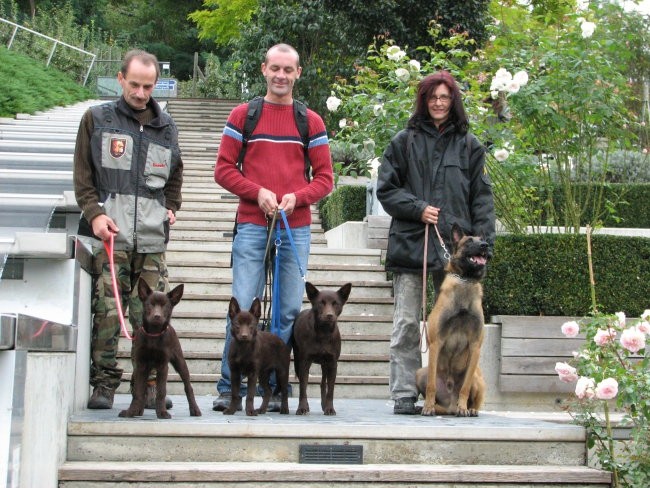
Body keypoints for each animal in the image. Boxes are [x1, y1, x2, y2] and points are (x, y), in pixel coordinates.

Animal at [117, 278, 201, 420]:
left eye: (165, 306)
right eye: (150, 304)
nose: (157, 316)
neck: (153, 334)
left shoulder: (163, 366)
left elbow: (161, 391)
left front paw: (162, 412)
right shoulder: (141, 364)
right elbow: (138, 392)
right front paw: (130, 412)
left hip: (180, 361)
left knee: (188, 387)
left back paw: (194, 409)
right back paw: (138, 410)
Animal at [290, 282, 350, 416]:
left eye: (335, 303)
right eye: (321, 303)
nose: (329, 315)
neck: (324, 332)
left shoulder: (332, 363)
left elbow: (330, 389)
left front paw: (329, 408)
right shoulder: (304, 362)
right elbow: (303, 387)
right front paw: (302, 408)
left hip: (325, 364)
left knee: (323, 383)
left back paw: (324, 405)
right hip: (297, 358)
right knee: (304, 382)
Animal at [418, 223, 488, 418]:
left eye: (482, 240)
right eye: (469, 241)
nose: (485, 245)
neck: (465, 280)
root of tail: (449, 406)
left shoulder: (475, 346)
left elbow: (465, 387)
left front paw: (463, 407)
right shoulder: (437, 343)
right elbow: (431, 385)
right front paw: (428, 406)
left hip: (477, 377)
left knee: (474, 397)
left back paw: (469, 409)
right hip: (420, 372)